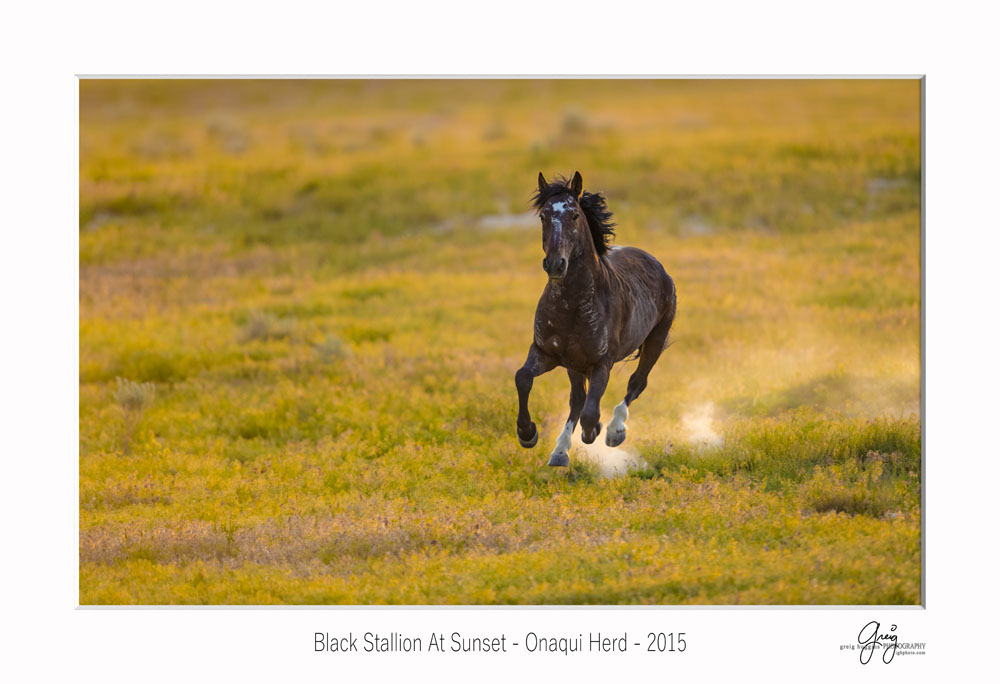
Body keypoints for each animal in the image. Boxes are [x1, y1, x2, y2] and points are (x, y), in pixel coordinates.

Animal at [516, 174, 672, 468]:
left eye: (575, 215)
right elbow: (523, 378)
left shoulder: (602, 362)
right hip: (574, 366)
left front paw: (597, 431)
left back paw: (614, 431)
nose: (555, 264)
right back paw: (560, 452)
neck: (572, 306)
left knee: (636, 383)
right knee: (577, 398)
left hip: (655, 341)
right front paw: (527, 433)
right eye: (543, 215)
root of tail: (656, 264)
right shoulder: (546, 353)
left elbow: (591, 412)